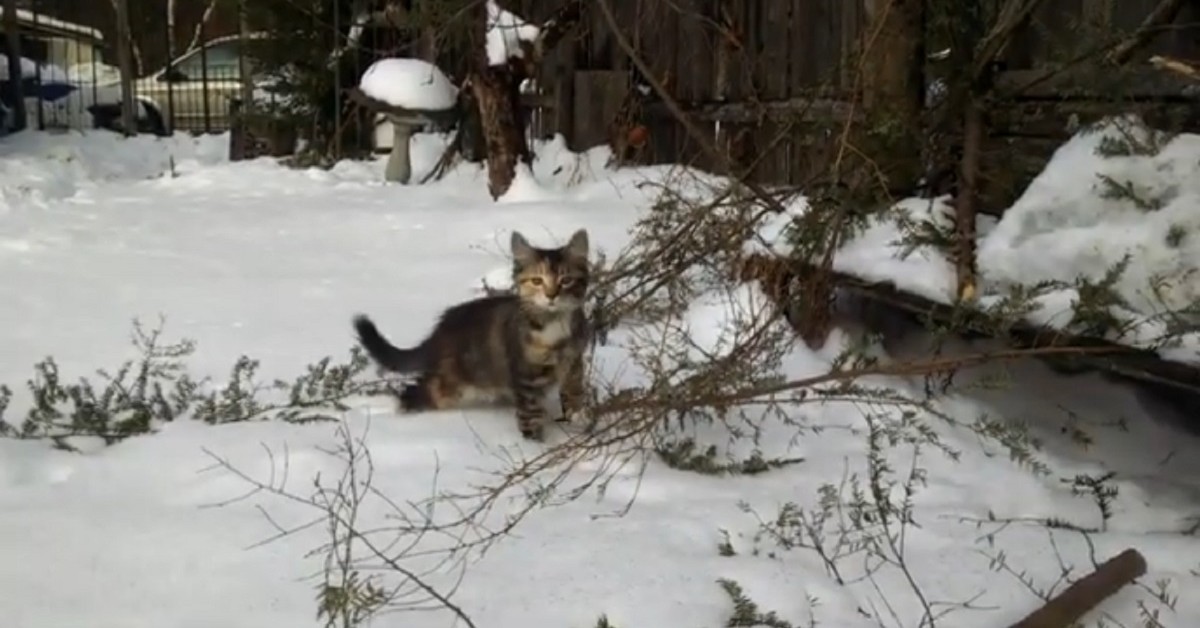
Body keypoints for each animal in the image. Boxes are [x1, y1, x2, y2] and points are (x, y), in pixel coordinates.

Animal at [350, 228, 592, 439]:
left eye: (566, 280)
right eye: (537, 281)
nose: (551, 296)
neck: (555, 325)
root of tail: (441, 328)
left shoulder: (573, 366)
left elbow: (574, 398)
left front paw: (579, 423)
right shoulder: (527, 382)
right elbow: (530, 421)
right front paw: (535, 446)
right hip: (452, 384)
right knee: (414, 391)